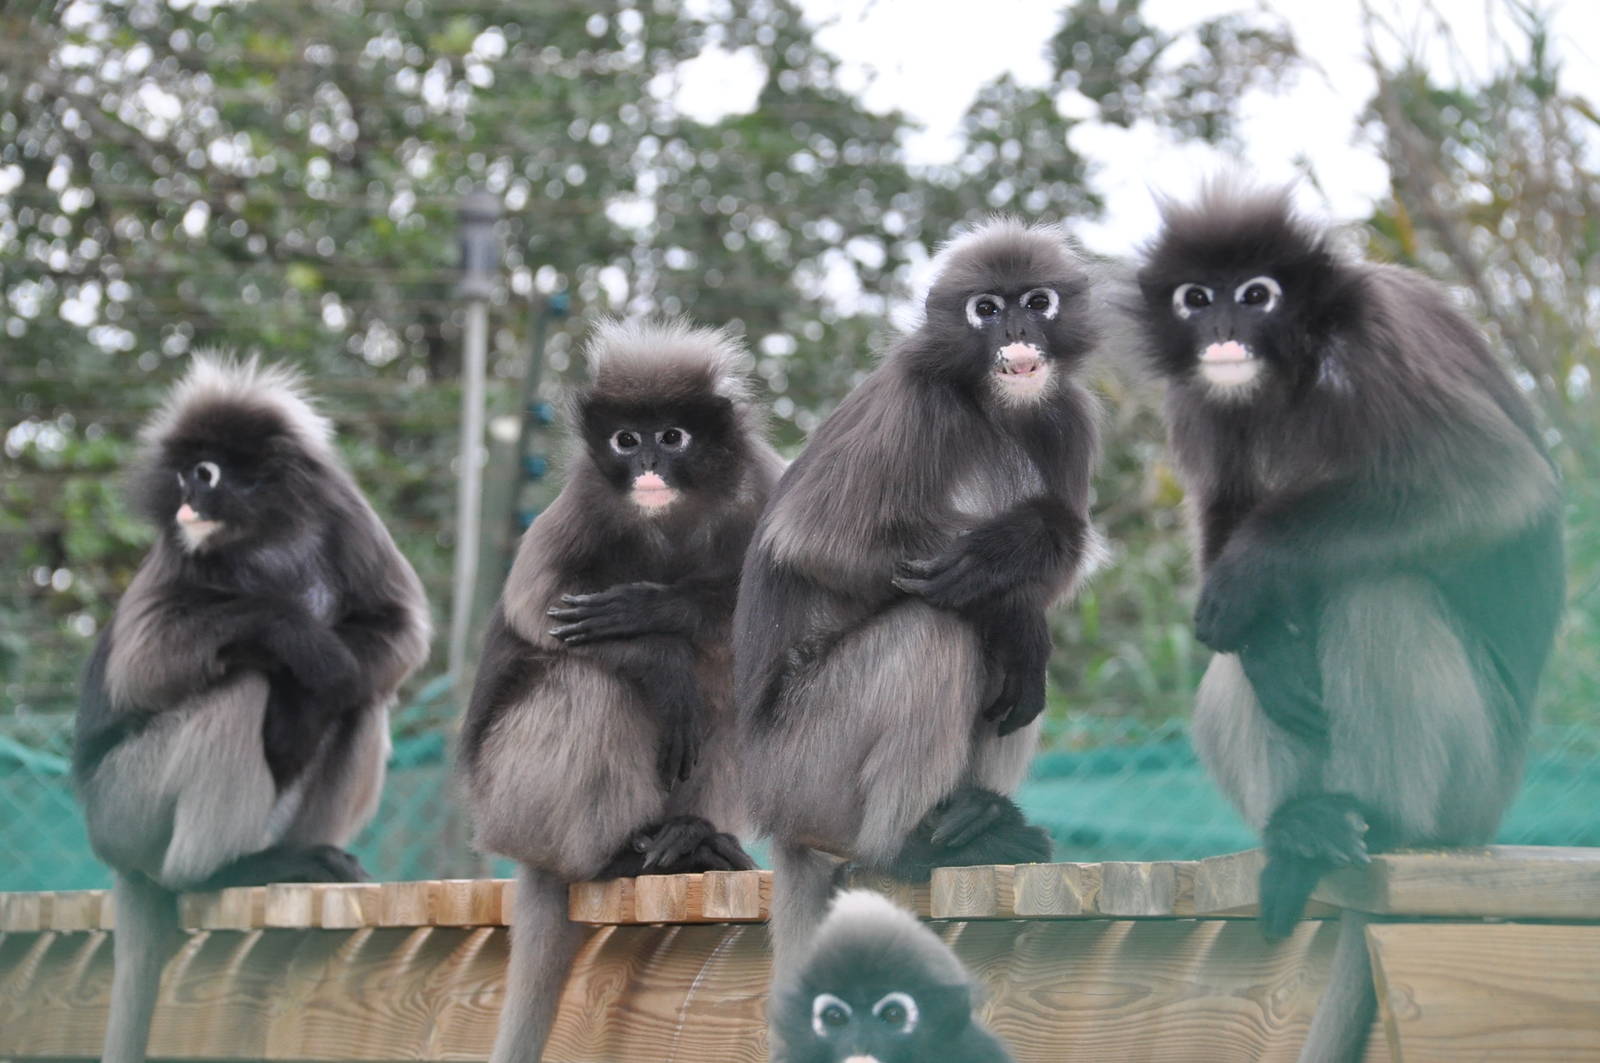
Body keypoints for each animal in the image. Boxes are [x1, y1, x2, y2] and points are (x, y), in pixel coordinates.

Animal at [72, 356, 431, 1063]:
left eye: (205, 474)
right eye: (183, 474)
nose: (184, 501)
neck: (267, 533)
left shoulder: (345, 515)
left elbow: (397, 628)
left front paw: (305, 707)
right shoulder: (181, 552)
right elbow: (142, 665)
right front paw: (300, 641)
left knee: (364, 692)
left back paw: (296, 854)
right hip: (124, 807)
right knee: (242, 685)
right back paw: (216, 873)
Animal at [459, 318, 785, 1063]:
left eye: (673, 436)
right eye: (624, 440)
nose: (647, 469)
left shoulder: (762, 483)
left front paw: (657, 609)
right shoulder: (582, 502)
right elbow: (538, 610)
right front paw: (656, 649)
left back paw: (691, 839)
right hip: (507, 798)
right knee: (590, 681)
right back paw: (616, 856)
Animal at [734, 218, 1105, 970]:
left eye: (1039, 301)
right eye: (985, 309)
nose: (1017, 331)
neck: (992, 405)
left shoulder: (1070, 416)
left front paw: (1015, 561)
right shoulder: (912, 396)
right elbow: (814, 539)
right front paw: (1011, 597)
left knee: (1014, 679)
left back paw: (978, 819)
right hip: (803, 770)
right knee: (938, 629)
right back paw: (904, 848)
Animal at [1132, 183, 1564, 1063]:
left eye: (1256, 293)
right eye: (1196, 296)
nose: (1221, 329)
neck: (1290, 376)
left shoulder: (1376, 346)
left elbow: (1495, 480)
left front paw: (1257, 560)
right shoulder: (1197, 401)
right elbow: (1228, 540)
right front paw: (1265, 635)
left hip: (1477, 780)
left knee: (1379, 586)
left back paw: (1383, 818)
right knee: (1242, 650)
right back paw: (1302, 824)